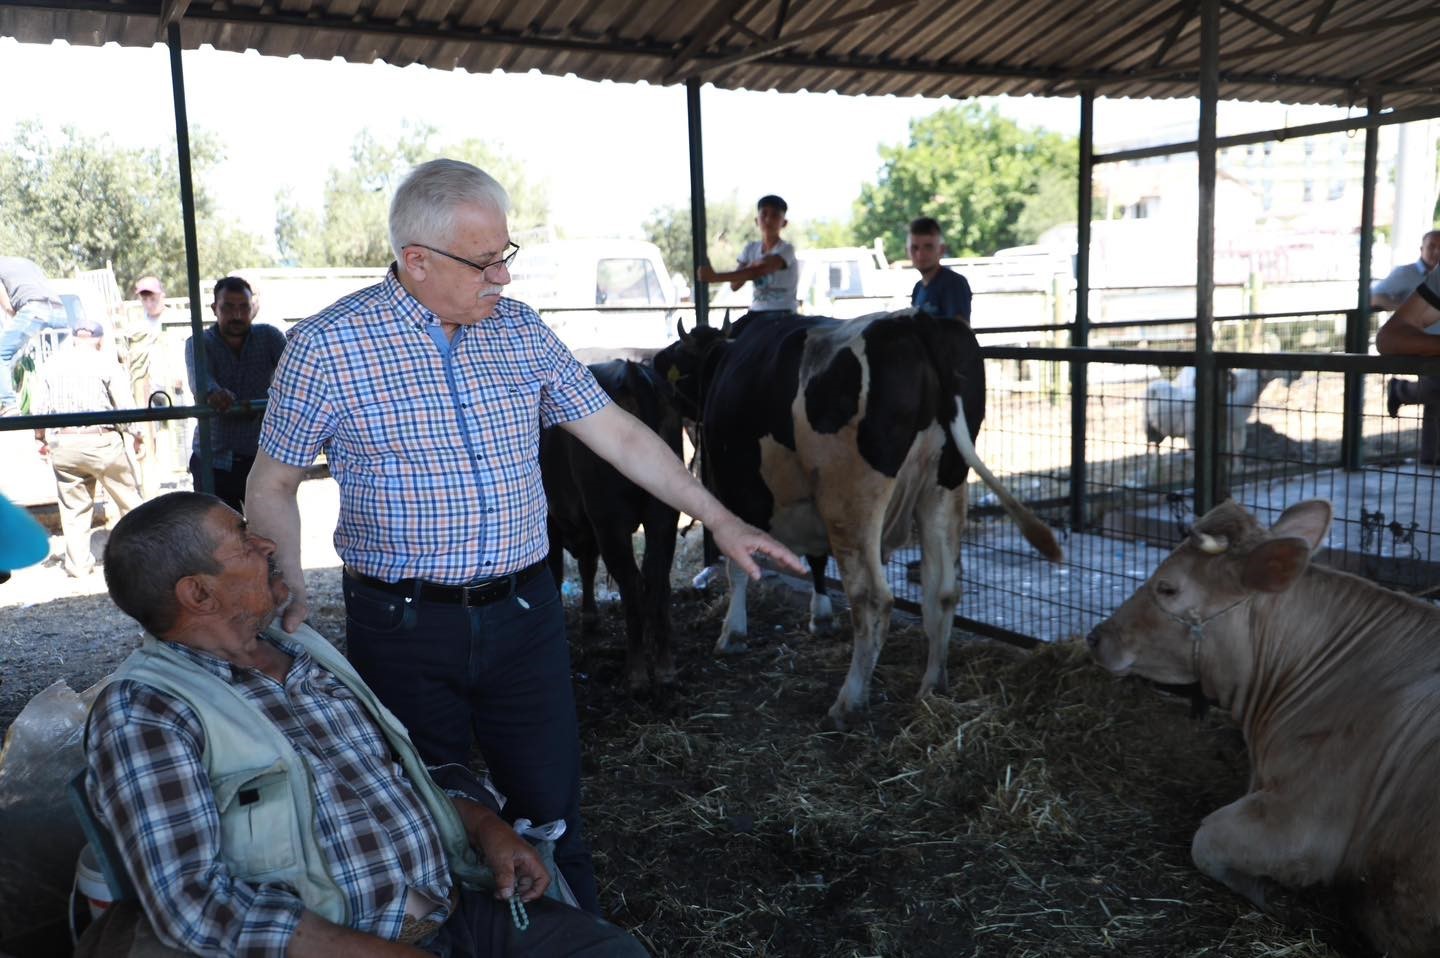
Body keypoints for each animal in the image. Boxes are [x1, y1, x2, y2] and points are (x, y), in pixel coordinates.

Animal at [541, 357, 682, 688]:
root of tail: (632, 373)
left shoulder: (555, 522)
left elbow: (558, 570)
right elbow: (587, 566)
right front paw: (590, 618)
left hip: (611, 522)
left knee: (631, 582)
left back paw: (637, 673)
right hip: (663, 515)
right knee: (657, 577)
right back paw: (665, 667)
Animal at [656, 309, 1059, 728]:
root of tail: (917, 320)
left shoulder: (733, 489)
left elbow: (738, 563)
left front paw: (732, 633)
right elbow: (817, 561)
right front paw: (820, 617)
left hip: (850, 499)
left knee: (873, 599)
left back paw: (849, 701)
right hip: (944, 485)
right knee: (944, 590)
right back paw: (933, 685)